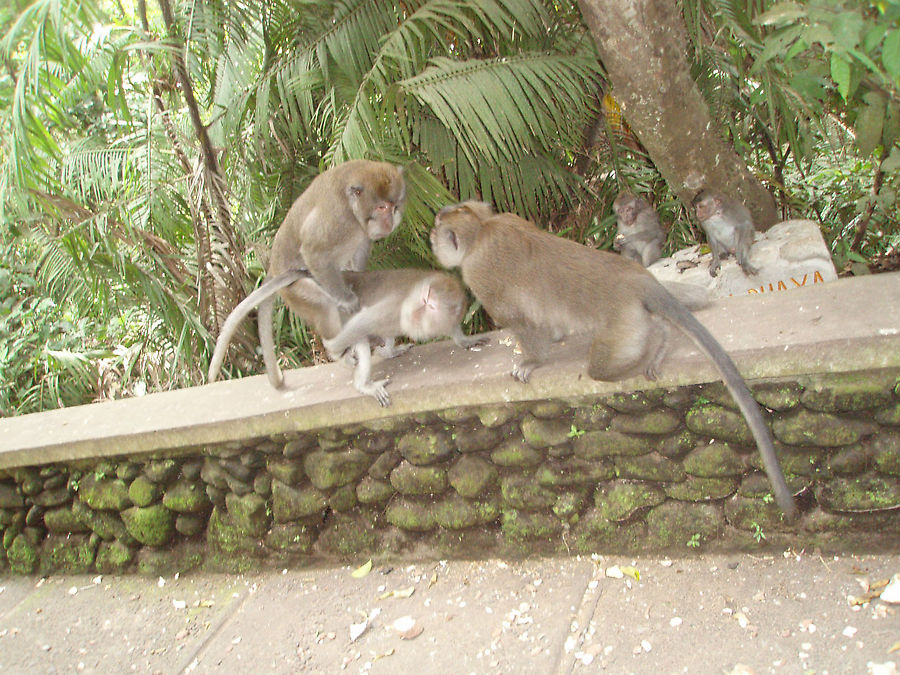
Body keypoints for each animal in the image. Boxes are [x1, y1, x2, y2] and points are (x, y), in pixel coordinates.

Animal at [208, 270, 488, 406]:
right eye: (425, 301)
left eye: (431, 306)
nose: (417, 313)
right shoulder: (394, 307)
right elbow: (362, 324)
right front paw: (337, 351)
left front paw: (464, 340)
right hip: (315, 299)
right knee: (357, 333)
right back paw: (360, 378)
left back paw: (386, 351)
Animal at [432, 203, 800, 520]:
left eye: (437, 227)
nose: (432, 237)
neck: (481, 228)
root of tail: (638, 279)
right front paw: (554, 338)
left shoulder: (481, 276)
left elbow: (521, 322)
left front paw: (532, 360)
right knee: (696, 296)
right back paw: (669, 327)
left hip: (624, 324)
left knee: (603, 366)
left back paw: (656, 344)